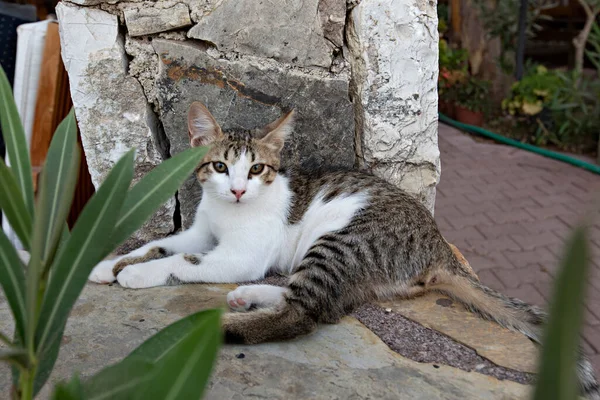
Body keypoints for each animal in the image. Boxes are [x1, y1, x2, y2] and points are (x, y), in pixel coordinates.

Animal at [89, 102, 600, 396]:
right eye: (219, 167)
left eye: (256, 170)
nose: (235, 190)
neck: (227, 213)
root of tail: (438, 246)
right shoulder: (199, 232)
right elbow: (161, 243)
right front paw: (108, 264)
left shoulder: (239, 255)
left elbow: (183, 260)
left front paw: (135, 273)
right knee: (319, 299)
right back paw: (249, 297)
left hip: (343, 240)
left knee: (307, 312)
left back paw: (226, 328)